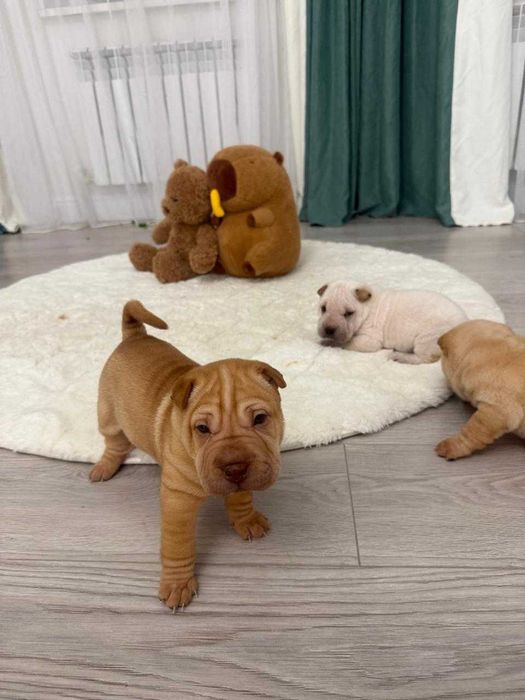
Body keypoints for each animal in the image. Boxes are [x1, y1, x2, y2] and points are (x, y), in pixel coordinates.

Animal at [91, 300, 286, 610]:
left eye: (260, 419)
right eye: (202, 428)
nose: (234, 468)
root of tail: (135, 336)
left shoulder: (243, 478)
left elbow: (241, 497)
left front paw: (246, 520)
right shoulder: (177, 500)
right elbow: (177, 545)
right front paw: (177, 585)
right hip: (108, 412)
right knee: (114, 443)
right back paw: (103, 467)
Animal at [317, 281, 467, 364]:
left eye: (349, 313)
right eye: (323, 308)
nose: (329, 330)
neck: (366, 309)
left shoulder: (369, 340)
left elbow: (346, 343)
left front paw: (329, 342)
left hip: (428, 338)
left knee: (424, 359)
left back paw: (400, 357)